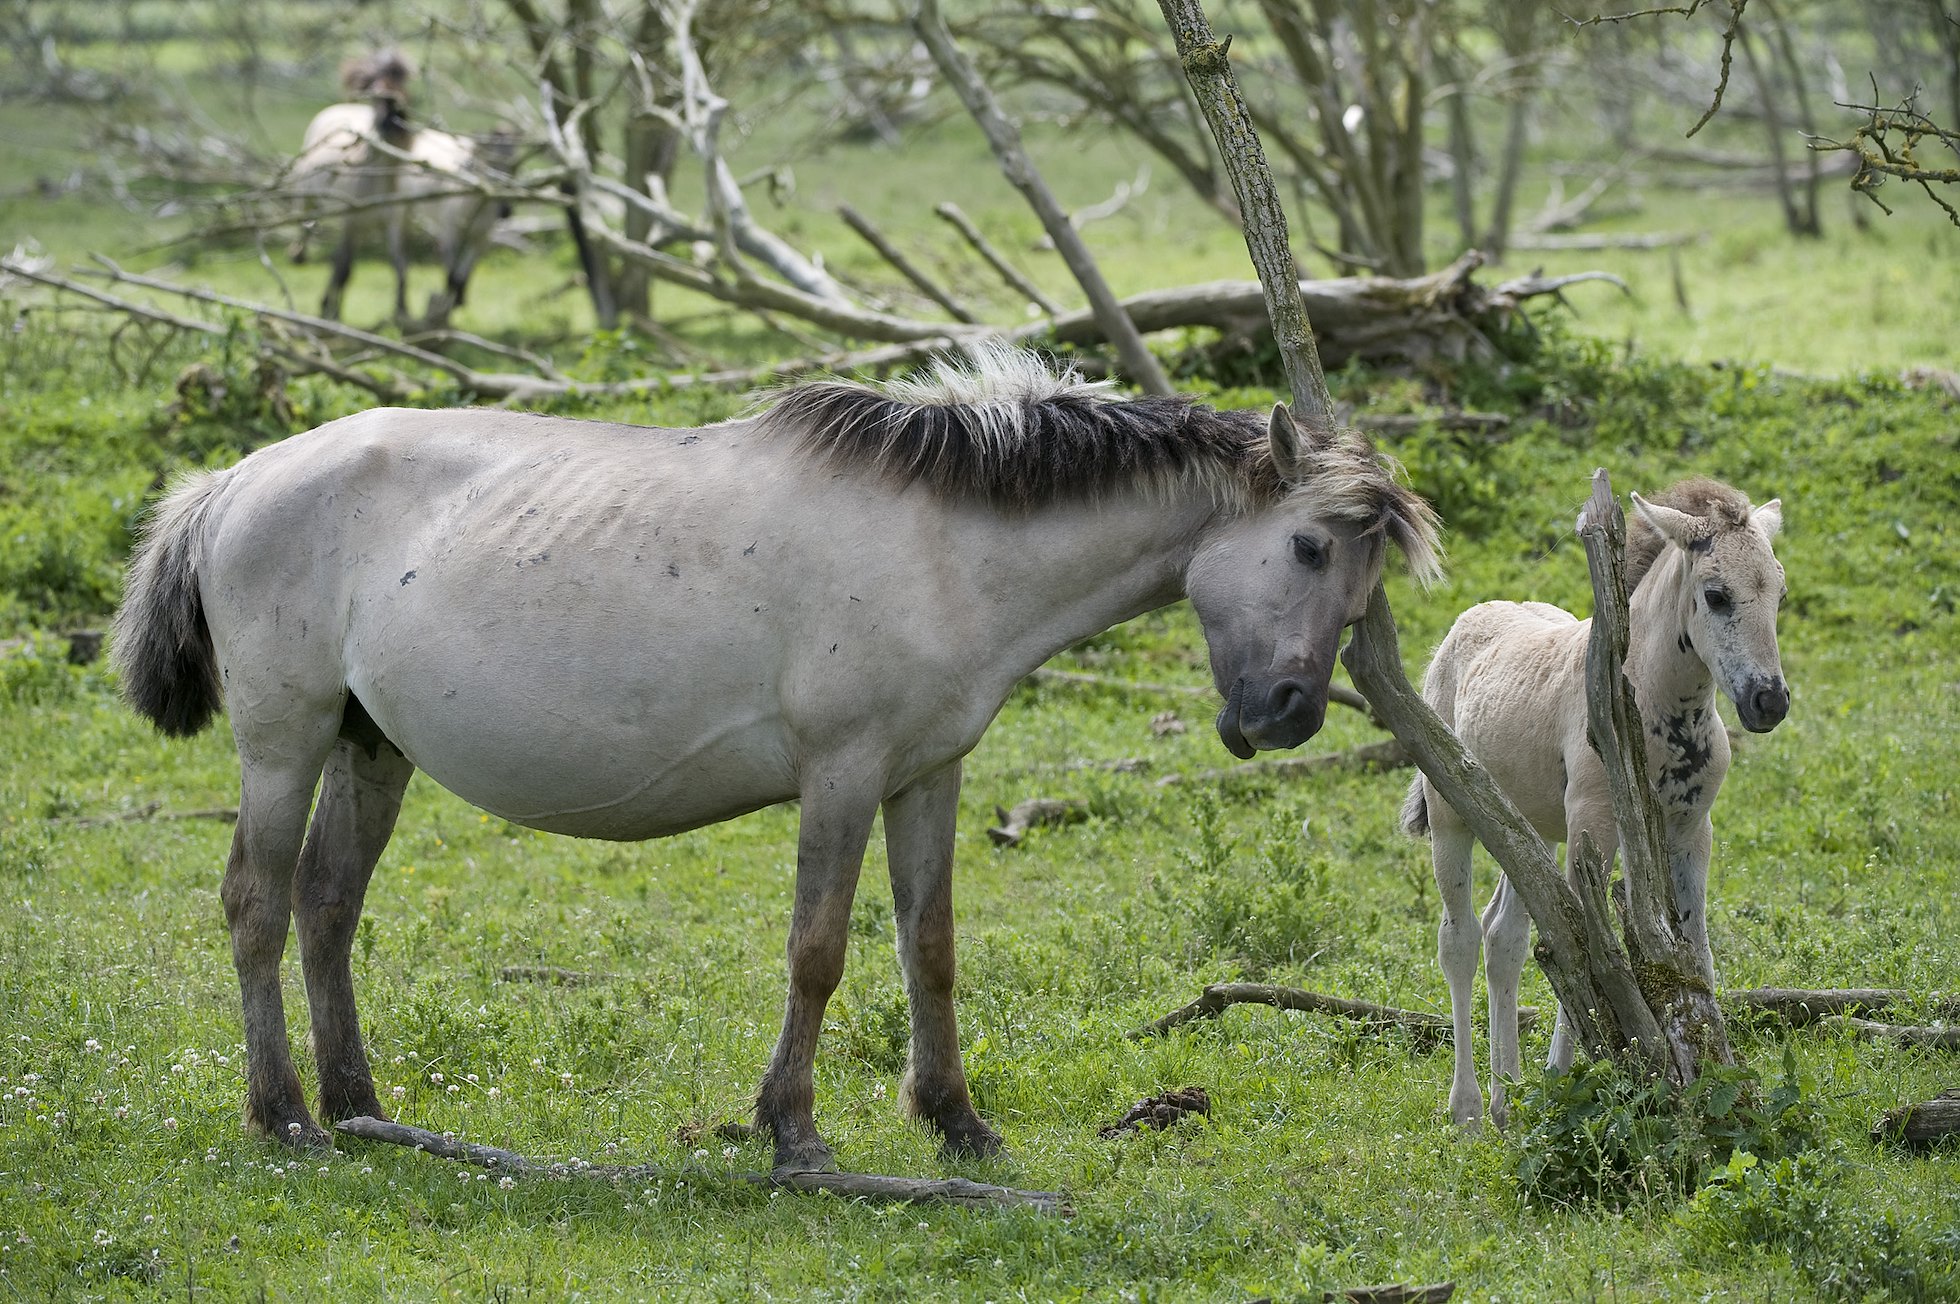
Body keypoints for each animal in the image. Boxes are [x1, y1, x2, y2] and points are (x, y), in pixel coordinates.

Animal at [114, 343, 1450, 1168]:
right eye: (1312, 548)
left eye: (1358, 576)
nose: (1288, 714)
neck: (945, 544)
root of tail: (236, 478)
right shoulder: (842, 775)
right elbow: (818, 952)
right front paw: (792, 1129)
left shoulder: (926, 774)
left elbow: (929, 947)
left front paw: (956, 1121)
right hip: (285, 742)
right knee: (256, 903)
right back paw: (286, 1114)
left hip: (369, 746)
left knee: (327, 906)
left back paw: (360, 1105)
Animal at [1395, 472, 1795, 1121]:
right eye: (1715, 596)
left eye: (1778, 593)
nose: (1769, 701)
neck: (1652, 703)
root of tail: (1458, 630)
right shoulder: (1594, 824)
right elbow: (1585, 945)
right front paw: (1568, 1073)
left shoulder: (1690, 832)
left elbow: (1692, 950)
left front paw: (1714, 1067)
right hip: (1453, 814)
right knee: (1460, 939)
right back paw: (1470, 1110)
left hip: (1523, 827)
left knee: (1505, 937)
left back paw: (1510, 1098)